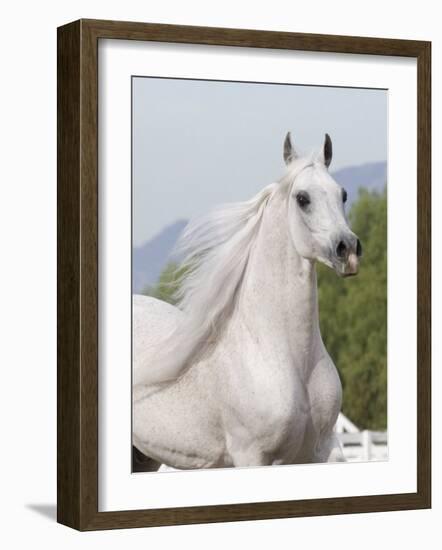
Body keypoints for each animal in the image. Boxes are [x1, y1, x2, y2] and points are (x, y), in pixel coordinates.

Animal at [133, 133, 360, 470]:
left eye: (342, 194)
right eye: (302, 198)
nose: (349, 250)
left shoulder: (323, 450)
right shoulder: (252, 456)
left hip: (143, 455)